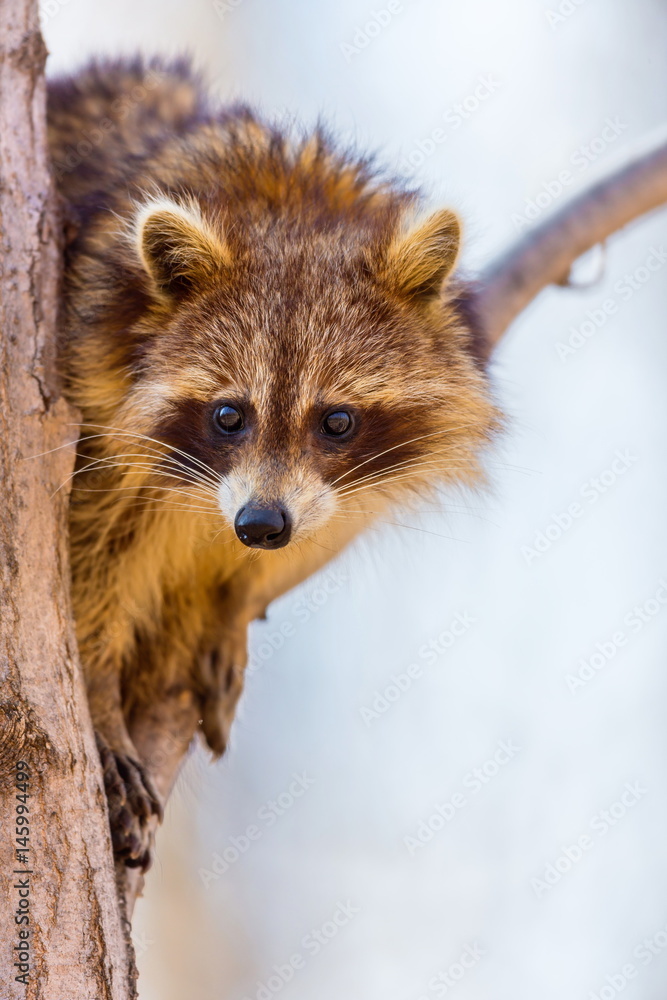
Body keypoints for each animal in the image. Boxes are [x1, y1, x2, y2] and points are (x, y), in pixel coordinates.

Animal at [47, 57, 499, 869]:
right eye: (230, 415)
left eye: (336, 421)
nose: (261, 526)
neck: (292, 209)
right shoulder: (88, 393)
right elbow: (84, 555)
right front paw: (95, 691)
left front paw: (227, 599)